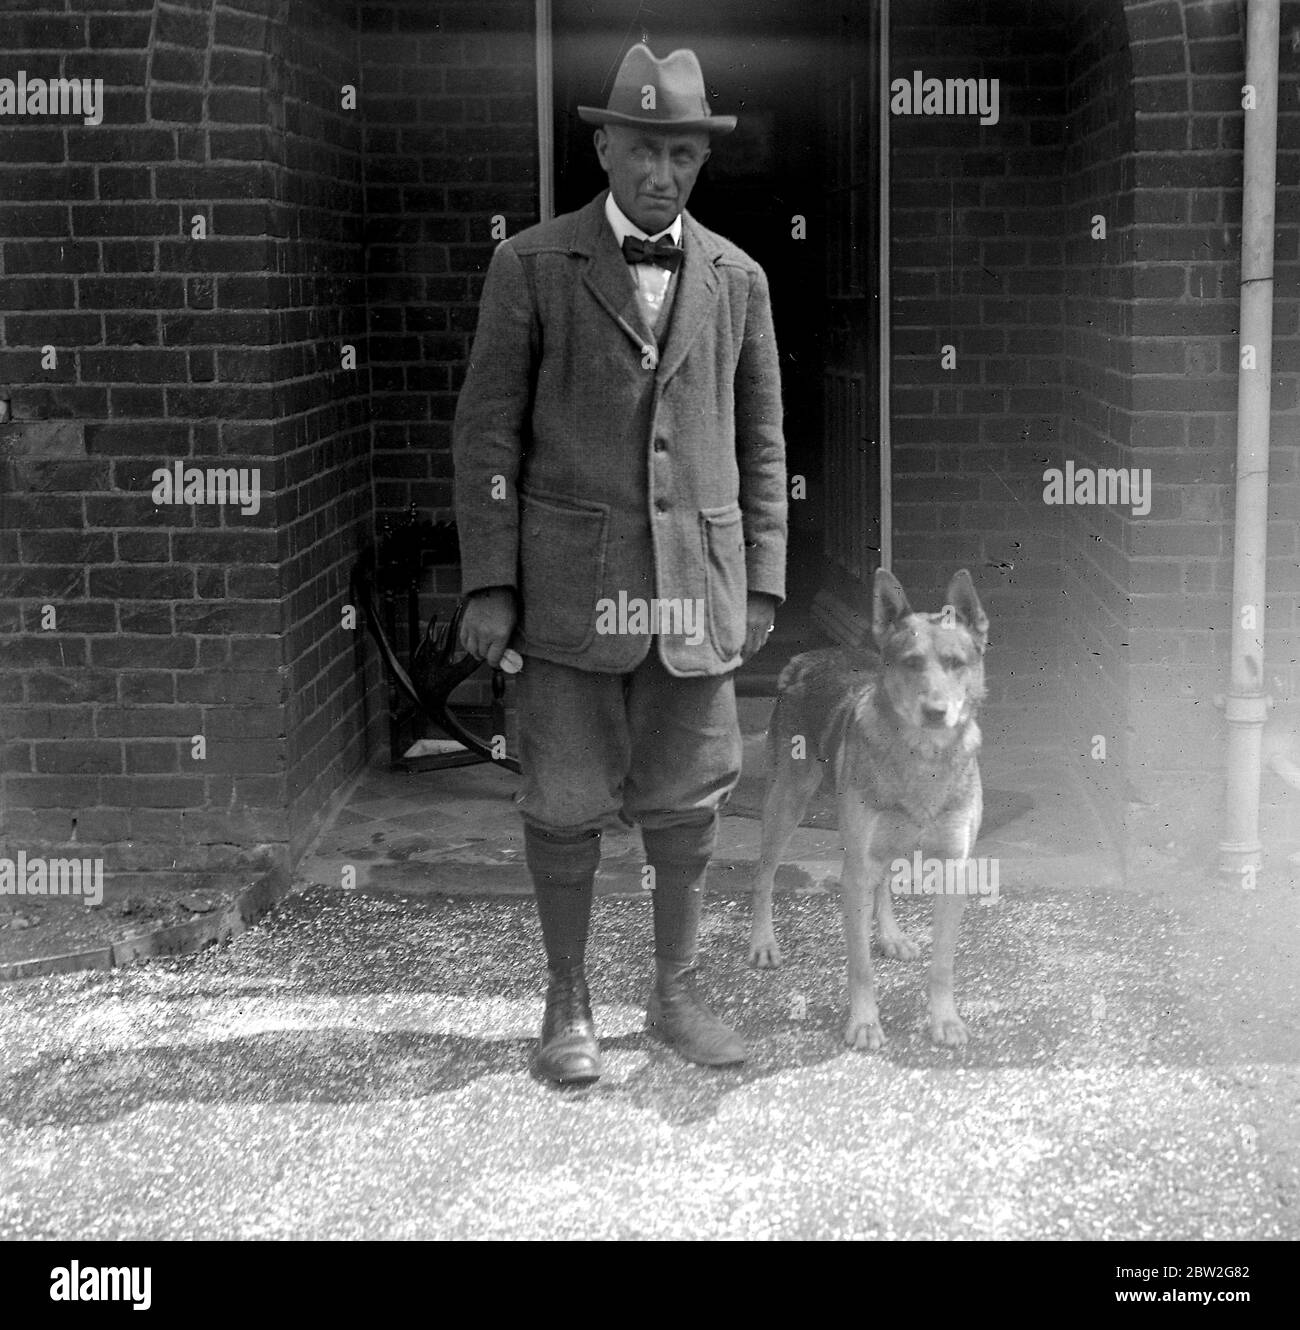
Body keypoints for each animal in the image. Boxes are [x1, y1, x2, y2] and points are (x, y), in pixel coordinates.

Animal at [750, 569, 984, 1048]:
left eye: (956, 663)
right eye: (912, 663)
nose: (936, 712)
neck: (924, 759)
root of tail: (807, 657)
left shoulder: (954, 868)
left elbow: (942, 965)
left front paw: (944, 1019)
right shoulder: (855, 873)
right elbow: (860, 966)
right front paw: (863, 1023)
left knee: (885, 885)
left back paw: (890, 935)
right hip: (786, 804)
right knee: (763, 876)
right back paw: (763, 942)